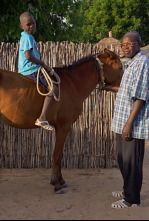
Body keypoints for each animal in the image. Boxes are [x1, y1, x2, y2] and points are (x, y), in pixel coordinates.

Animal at [0, 48, 123, 193]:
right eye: (120, 67)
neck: (74, 84)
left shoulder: (60, 127)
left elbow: (60, 154)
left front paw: (61, 181)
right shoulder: (64, 126)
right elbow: (57, 154)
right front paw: (56, 183)